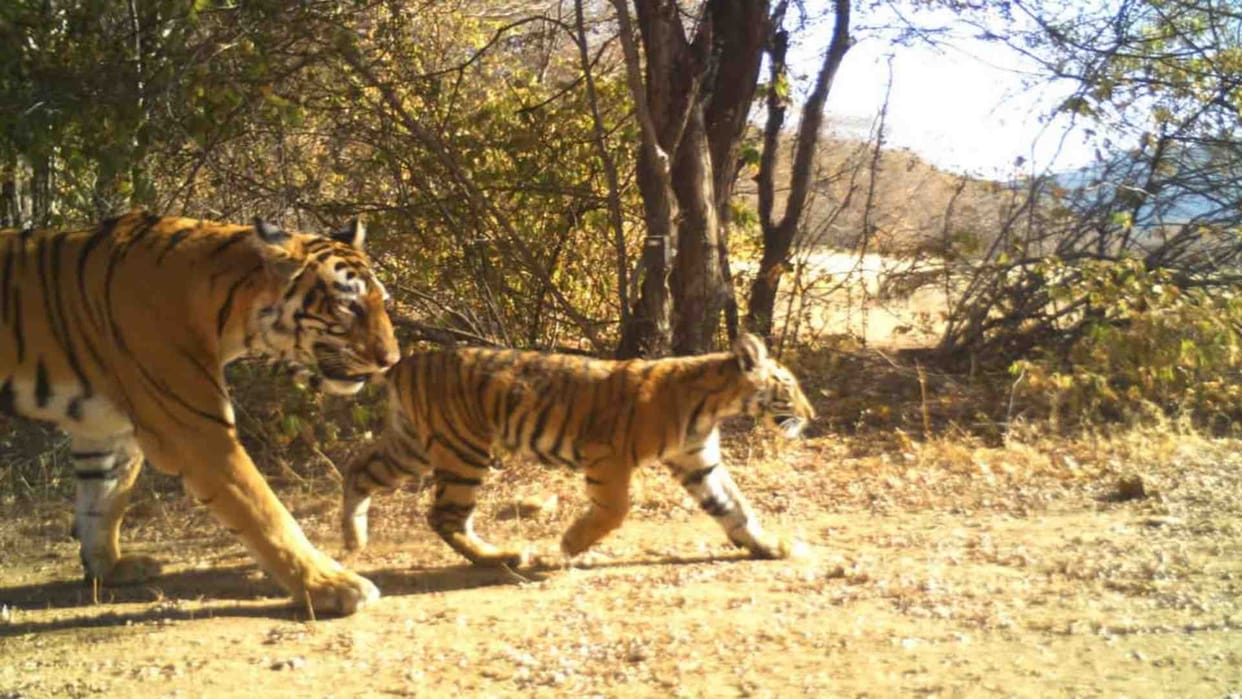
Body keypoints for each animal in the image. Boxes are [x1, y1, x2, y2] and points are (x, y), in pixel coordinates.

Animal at [0, 210, 399, 615]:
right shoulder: (197, 431)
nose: (392, 360)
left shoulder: (106, 430)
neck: (231, 310)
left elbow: (103, 502)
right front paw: (329, 584)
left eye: (382, 301)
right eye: (349, 306)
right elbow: (265, 512)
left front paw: (108, 569)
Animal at [341, 334, 814, 567]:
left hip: (416, 446)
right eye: (789, 386)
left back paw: (353, 539)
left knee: (358, 468)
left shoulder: (699, 461)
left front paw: (769, 546)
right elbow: (615, 509)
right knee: (445, 516)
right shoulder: (609, 456)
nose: (810, 415)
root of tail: (405, 363)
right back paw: (505, 557)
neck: (714, 405)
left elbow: (735, 508)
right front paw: (567, 546)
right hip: (462, 452)